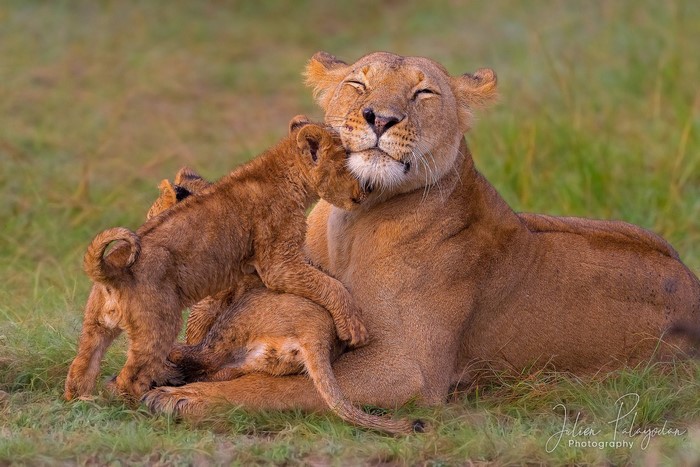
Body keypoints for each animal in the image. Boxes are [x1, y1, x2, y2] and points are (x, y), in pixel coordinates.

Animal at [64, 116, 369, 401]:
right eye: (350, 166)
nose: (365, 189)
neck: (283, 170)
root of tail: (111, 269)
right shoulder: (278, 262)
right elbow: (329, 284)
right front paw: (354, 327)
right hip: (159, 325)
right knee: (132, 377)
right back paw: (142, 402)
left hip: (95, 326)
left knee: (81, 367)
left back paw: (84, 401)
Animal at [141, 51, 699, 418]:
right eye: (359, 85)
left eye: (423, 91)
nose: (380, 118)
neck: (352, 221)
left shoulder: (406, 368)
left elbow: (296, 388)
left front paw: (184, 396)